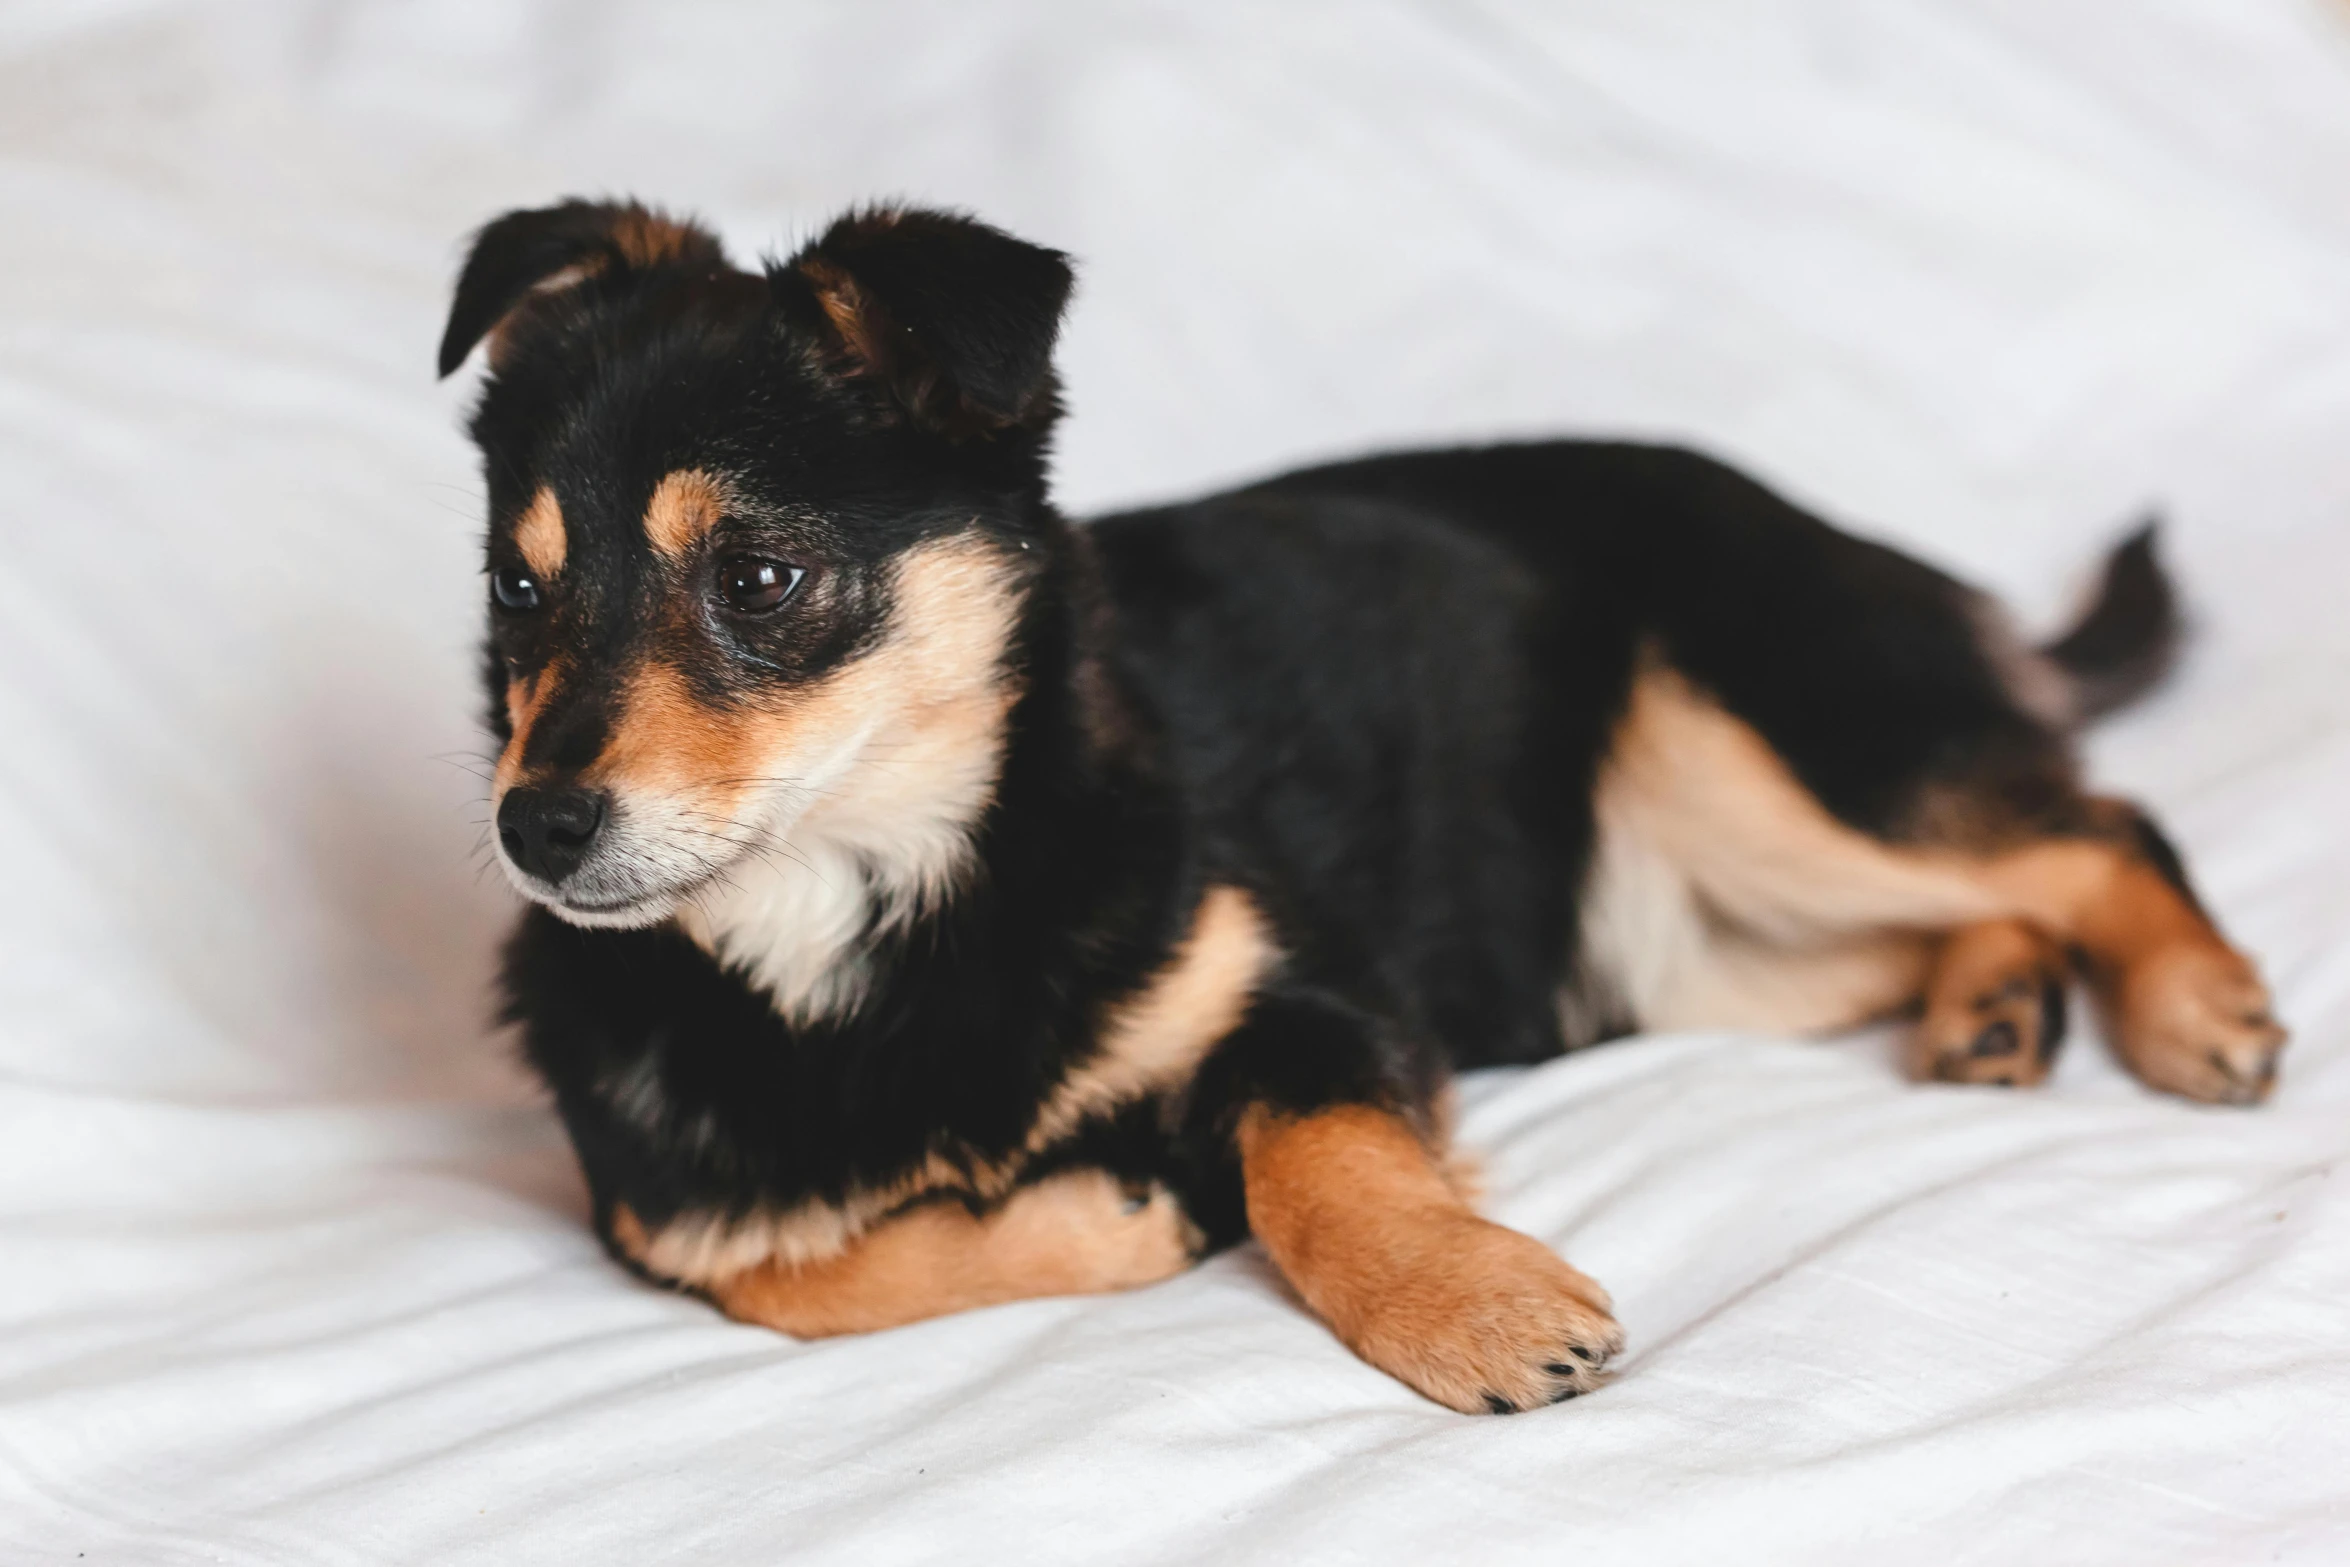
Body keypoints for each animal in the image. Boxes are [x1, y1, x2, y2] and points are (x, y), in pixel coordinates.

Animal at [444, 199, 2293, 1418]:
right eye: (517, 593)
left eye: (758, 577)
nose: (535, 828)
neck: (867, 919)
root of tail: (1880, 550)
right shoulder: (666, 1214)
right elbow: (800, 1273)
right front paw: (1114, 1210)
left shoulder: (1310, 986)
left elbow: (1310, 1151)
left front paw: (1463, 1303)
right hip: (1701, 943)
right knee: (1977, 897)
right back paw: (1993, 1003)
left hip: (1752, 757)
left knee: (2096, 828)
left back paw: (2193, 1001)